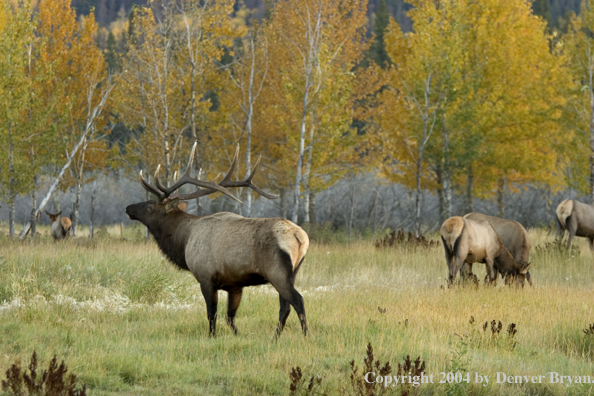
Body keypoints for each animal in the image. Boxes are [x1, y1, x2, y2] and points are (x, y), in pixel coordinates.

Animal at [125, 142, 310, 338]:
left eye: (149, 206)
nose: (128, 208)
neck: (184, 241)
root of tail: (300, 236)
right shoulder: (235, 285)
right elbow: (230, 317)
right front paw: (238, 335)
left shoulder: (206, 277)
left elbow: (212, 313)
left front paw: (211, 336)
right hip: (293, 271)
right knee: (285, 307)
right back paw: (275, 338)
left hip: (276, 271)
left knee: (297, 300)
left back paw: (305, 336)